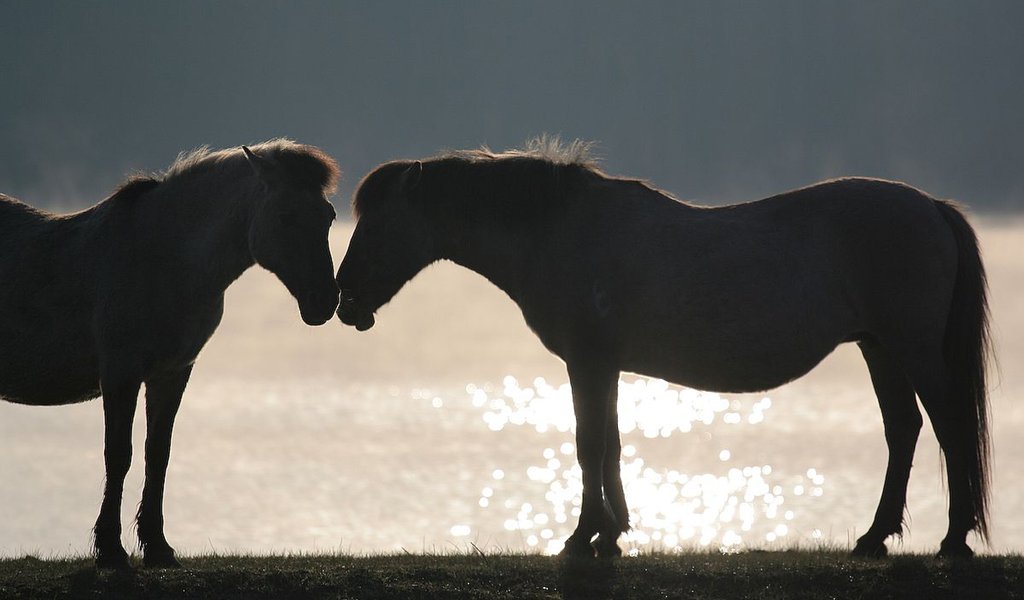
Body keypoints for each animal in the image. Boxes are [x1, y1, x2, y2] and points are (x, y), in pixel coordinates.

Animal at [1, 138, 344, 569]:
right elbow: (119, 454)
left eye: (329, 216)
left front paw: (157, 545)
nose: (324, 301)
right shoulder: (121, 373)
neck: (162, 257)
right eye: (285, 216)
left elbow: (157, 453)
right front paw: (110, 549)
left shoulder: (172, 372)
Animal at [335, 139, 991, 556]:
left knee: (950, 426)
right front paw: (613, 532)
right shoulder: (604, 367)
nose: (345, 300)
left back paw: (953, 540)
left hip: (910, 347)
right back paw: (874, 538)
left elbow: (588, 445)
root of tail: (930, 206)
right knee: (903, 429)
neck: (559, 230)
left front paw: (582, 537)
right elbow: (612, 445)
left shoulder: (589, 362)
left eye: (376, 223)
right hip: (879, 347)